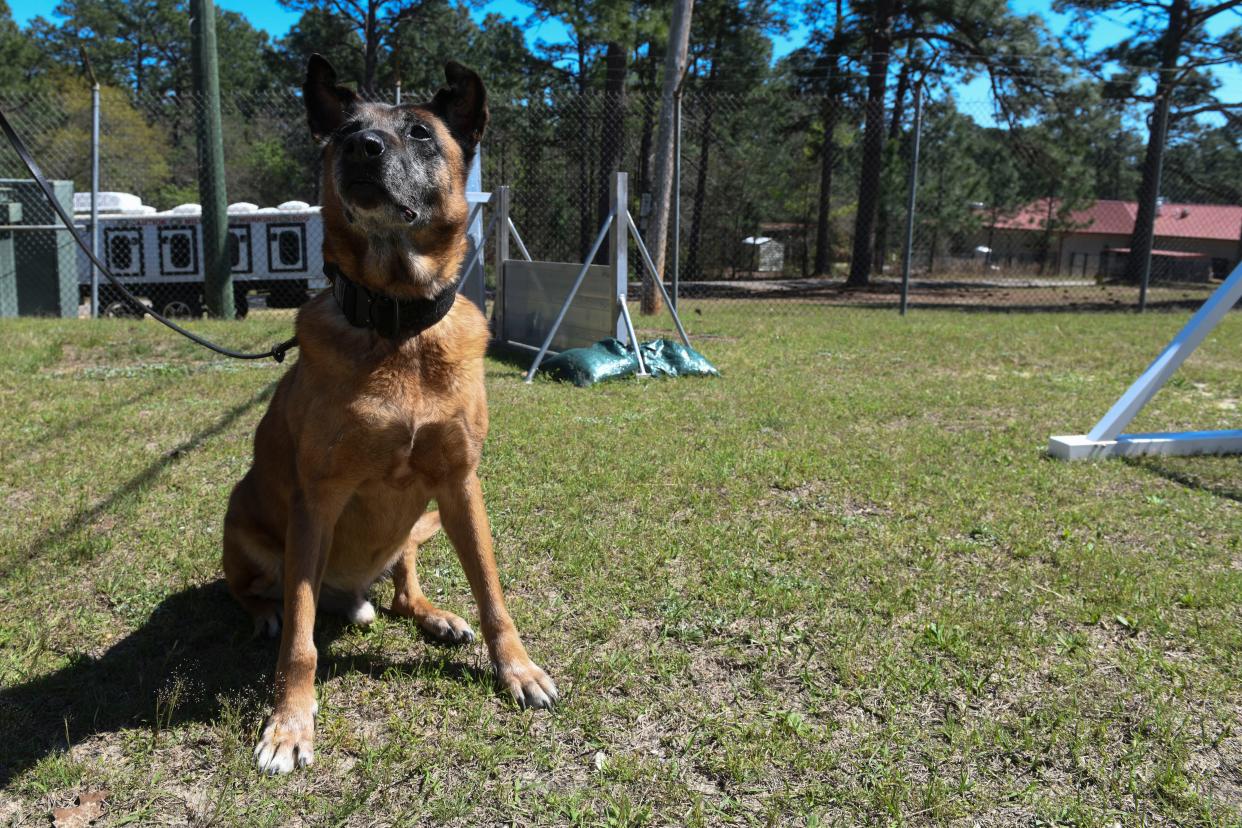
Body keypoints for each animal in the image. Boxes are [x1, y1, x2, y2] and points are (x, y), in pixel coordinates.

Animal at [221, 54, 556, 774]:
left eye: (421, 133)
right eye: (346, 130)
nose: (361, 148)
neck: (398, 328)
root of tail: (353, 593)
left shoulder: (460, 485)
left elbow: (493, 595)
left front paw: (515, 668)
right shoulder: (317, 501)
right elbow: (301, 639)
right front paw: (290, 724)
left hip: (408, 531)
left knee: (404, 588)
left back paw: (435, 616)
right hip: (241, 521)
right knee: (260, 594)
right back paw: (262, 613)